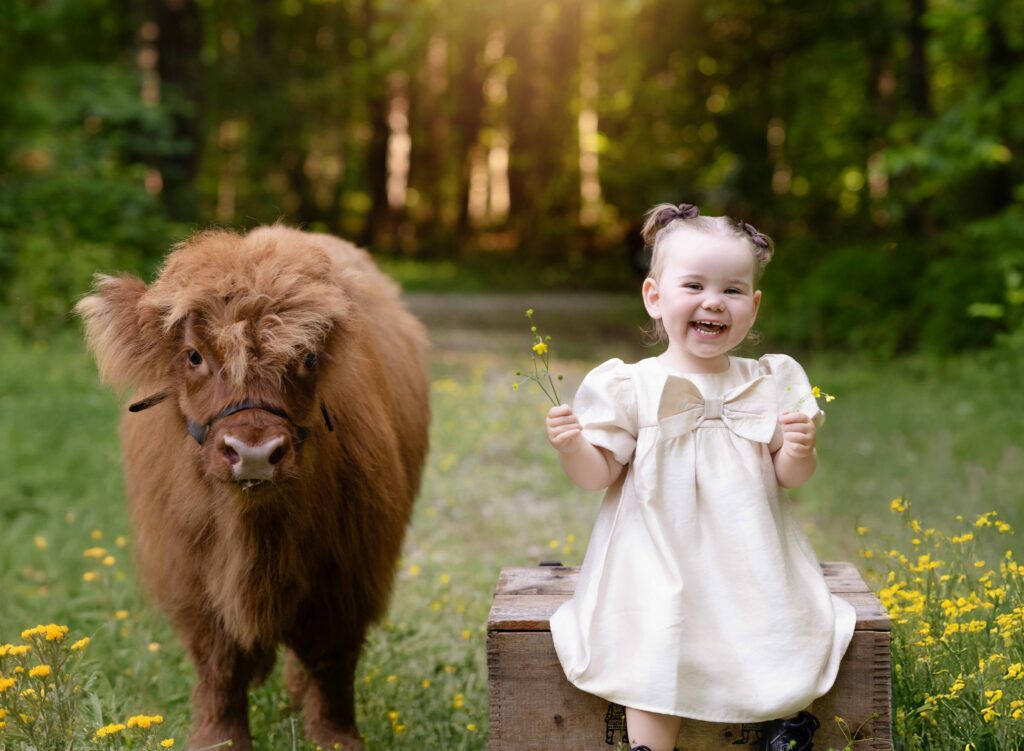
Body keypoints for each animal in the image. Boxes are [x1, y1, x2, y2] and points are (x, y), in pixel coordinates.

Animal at [75, 226, 430, 750]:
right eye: (194, 356)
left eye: (307, 357)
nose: (255, 452)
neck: (254, 537)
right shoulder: (191, 580)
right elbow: (219, 667)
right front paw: (217, 739)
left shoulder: (351, 573)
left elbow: (332, 664)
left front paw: (335, 737)